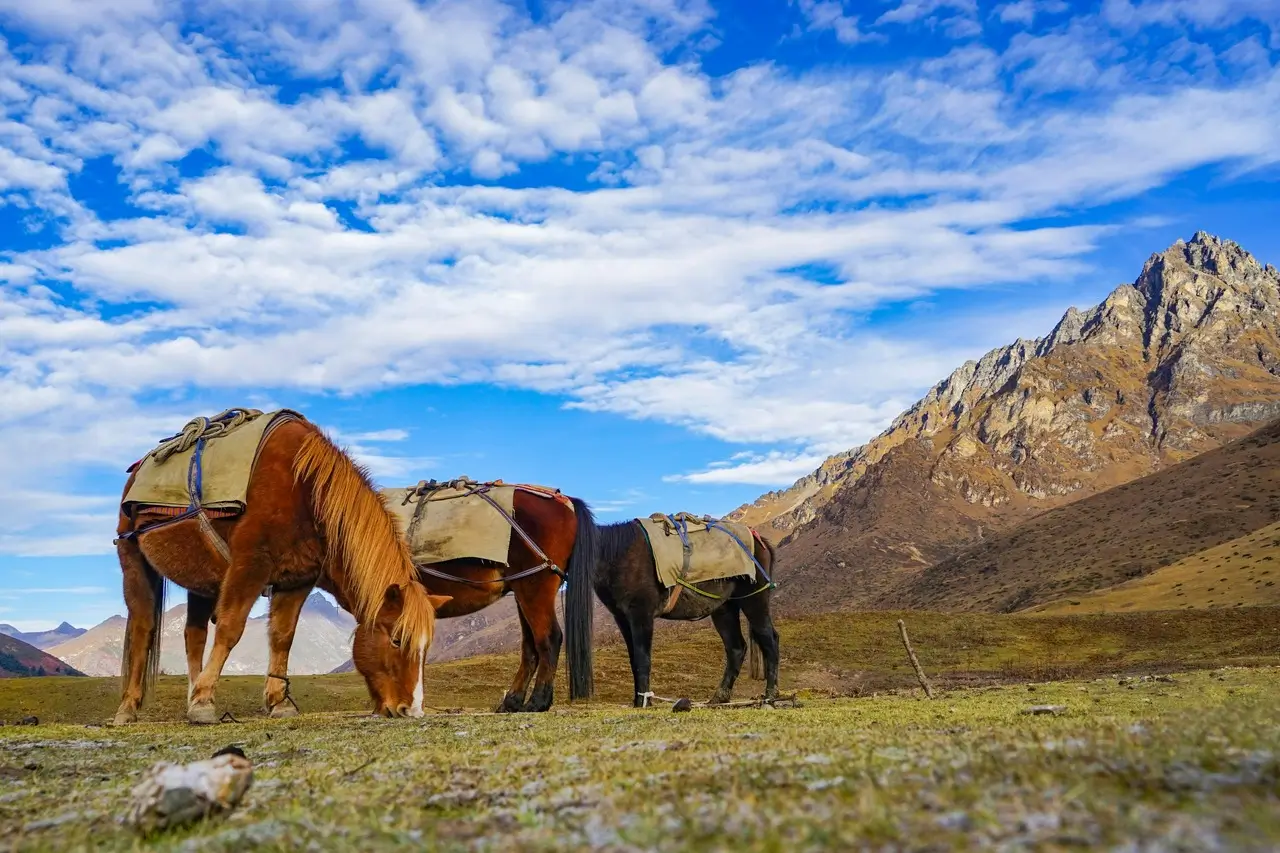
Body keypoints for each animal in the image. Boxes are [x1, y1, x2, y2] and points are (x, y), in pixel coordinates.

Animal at [116, 414, 445, 722]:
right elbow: (230, 628)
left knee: (193, 635)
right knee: (143, 628)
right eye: (397, 639)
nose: (411, 709)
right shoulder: (249, 565)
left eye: (426, 647)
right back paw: (129, 707)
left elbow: (282, 637)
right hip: (133, 557)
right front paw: (204, 700)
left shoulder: (297, 579)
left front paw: (278, 701)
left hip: (199, 577)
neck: (307, 493)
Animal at [322, 484, 601, 712]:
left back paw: (538, 701)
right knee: (530, 646)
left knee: (549, 639)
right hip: (523, 591)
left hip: (535, 587)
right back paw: (512, 701)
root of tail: (565, 502)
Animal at [586, 522, 778, 706]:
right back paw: (719, 698)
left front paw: (643, 702)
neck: (618, 556)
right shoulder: (622, 618)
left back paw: (771, 695)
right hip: (724, 609)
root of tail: (759, 540)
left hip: (753, 601)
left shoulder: (641, 615)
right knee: (736, 648)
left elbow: (642, 658)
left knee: (770, 639)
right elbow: (633, 659)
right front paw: (638, 700)